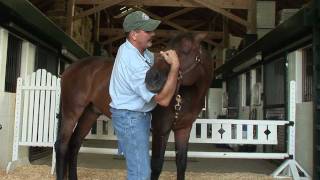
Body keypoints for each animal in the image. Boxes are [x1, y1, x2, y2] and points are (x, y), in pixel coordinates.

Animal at [55, 32, 214, 180]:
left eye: (186, 50)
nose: (151, 78)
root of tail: (70, 69)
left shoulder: (183, 129)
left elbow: (181, 164)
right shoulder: (161, 130)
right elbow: (156, 166)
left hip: (89, 113)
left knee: (74, 144)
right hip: (71, 112)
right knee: (62, 145)